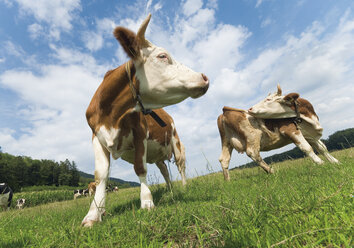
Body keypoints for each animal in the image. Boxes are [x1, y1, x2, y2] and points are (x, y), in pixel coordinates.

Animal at [81, 13, 209, 227]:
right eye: (162, 56)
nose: (204, 77)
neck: (112, 114)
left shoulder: (140, 132)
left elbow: (140, 168)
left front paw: (147, 202)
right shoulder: (96, 137)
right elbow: (101, 176)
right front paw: (94, 214)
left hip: (176, 143)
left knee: (180, 166)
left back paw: (182, 187)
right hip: (158, 153)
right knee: (164, 170)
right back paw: (169, 189)